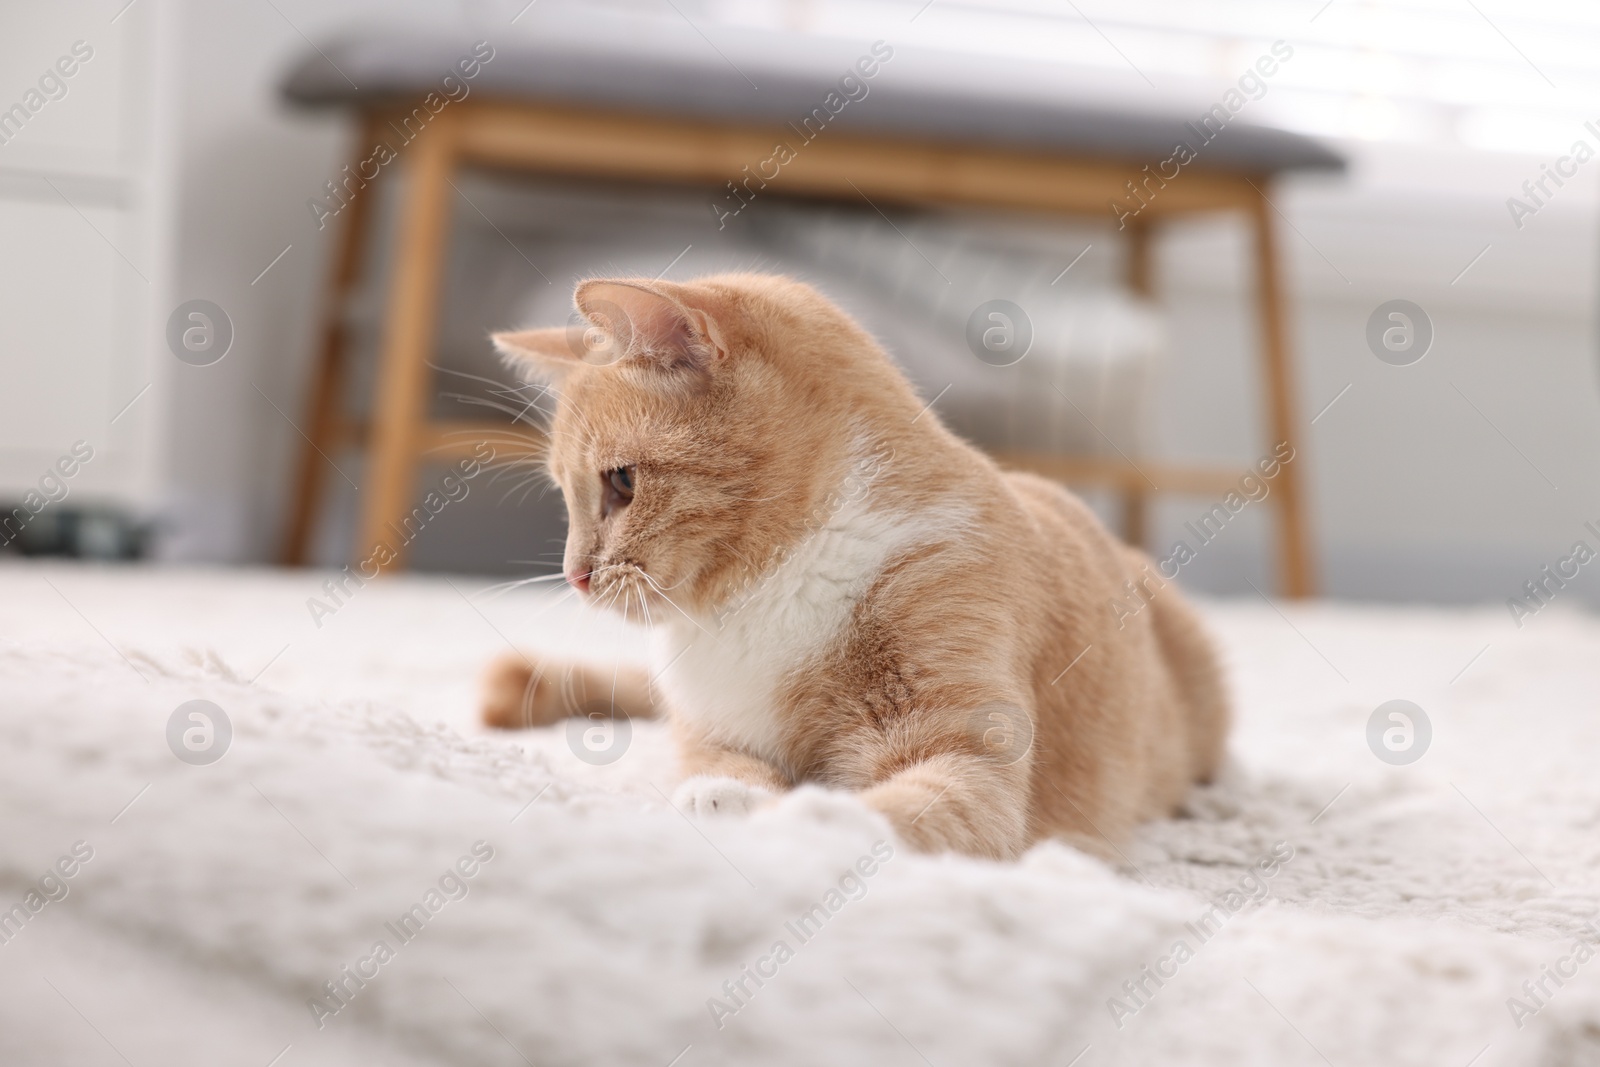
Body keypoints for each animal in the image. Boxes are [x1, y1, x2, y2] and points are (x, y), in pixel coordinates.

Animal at [483, 273, 1222, 857]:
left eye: (623, 483)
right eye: (566, 495)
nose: (575, 575)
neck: (769, 590)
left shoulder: (968, 764)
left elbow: (882, 813)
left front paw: (794, 820)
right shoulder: (705, 729)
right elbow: (721, 764)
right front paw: (725, 796)